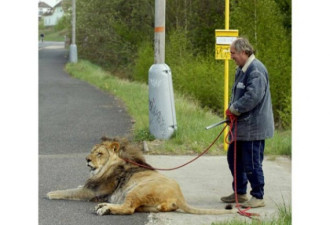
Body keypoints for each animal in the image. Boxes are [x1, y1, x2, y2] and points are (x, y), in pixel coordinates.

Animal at [46, 136, 237, 215]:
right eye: (92, 151)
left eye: (99, 154)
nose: (87, 159)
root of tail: (179, 195)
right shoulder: (89, 187)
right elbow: (76, 186)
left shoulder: (92, 192)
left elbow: (68, 191)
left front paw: (50, 193)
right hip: (147, 203)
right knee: (132, 207)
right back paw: (104, 206)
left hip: (137, 190)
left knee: (128, 209)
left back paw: (105, 209)